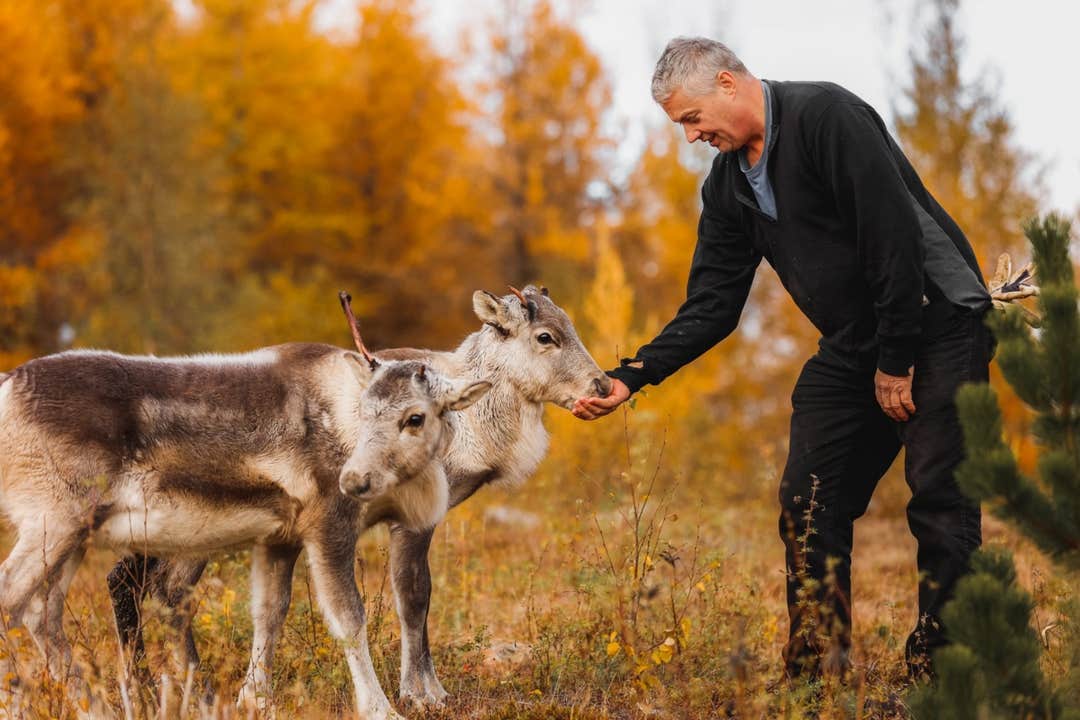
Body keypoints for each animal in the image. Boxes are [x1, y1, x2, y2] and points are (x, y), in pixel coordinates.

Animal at [0, 317, 491, 719]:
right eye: (365, 411)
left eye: (415, 417)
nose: (354, 480)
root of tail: (7, 386)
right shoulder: (328, 526)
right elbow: (349, 618)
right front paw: (380, 708)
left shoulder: (280, 538)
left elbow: (269, 612)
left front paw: (255, 700)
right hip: (54, 520)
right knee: (12, 598)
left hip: (76, 535)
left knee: (44, 613)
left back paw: (95, 706)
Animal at [108, 284, 613, 708]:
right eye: (546, 336)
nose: (604, 385)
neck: (472, 423)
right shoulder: (411, 520)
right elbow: (413, 595)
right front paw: (422, 693)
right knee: (161, 587)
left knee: (127, 578)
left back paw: (150, 686)